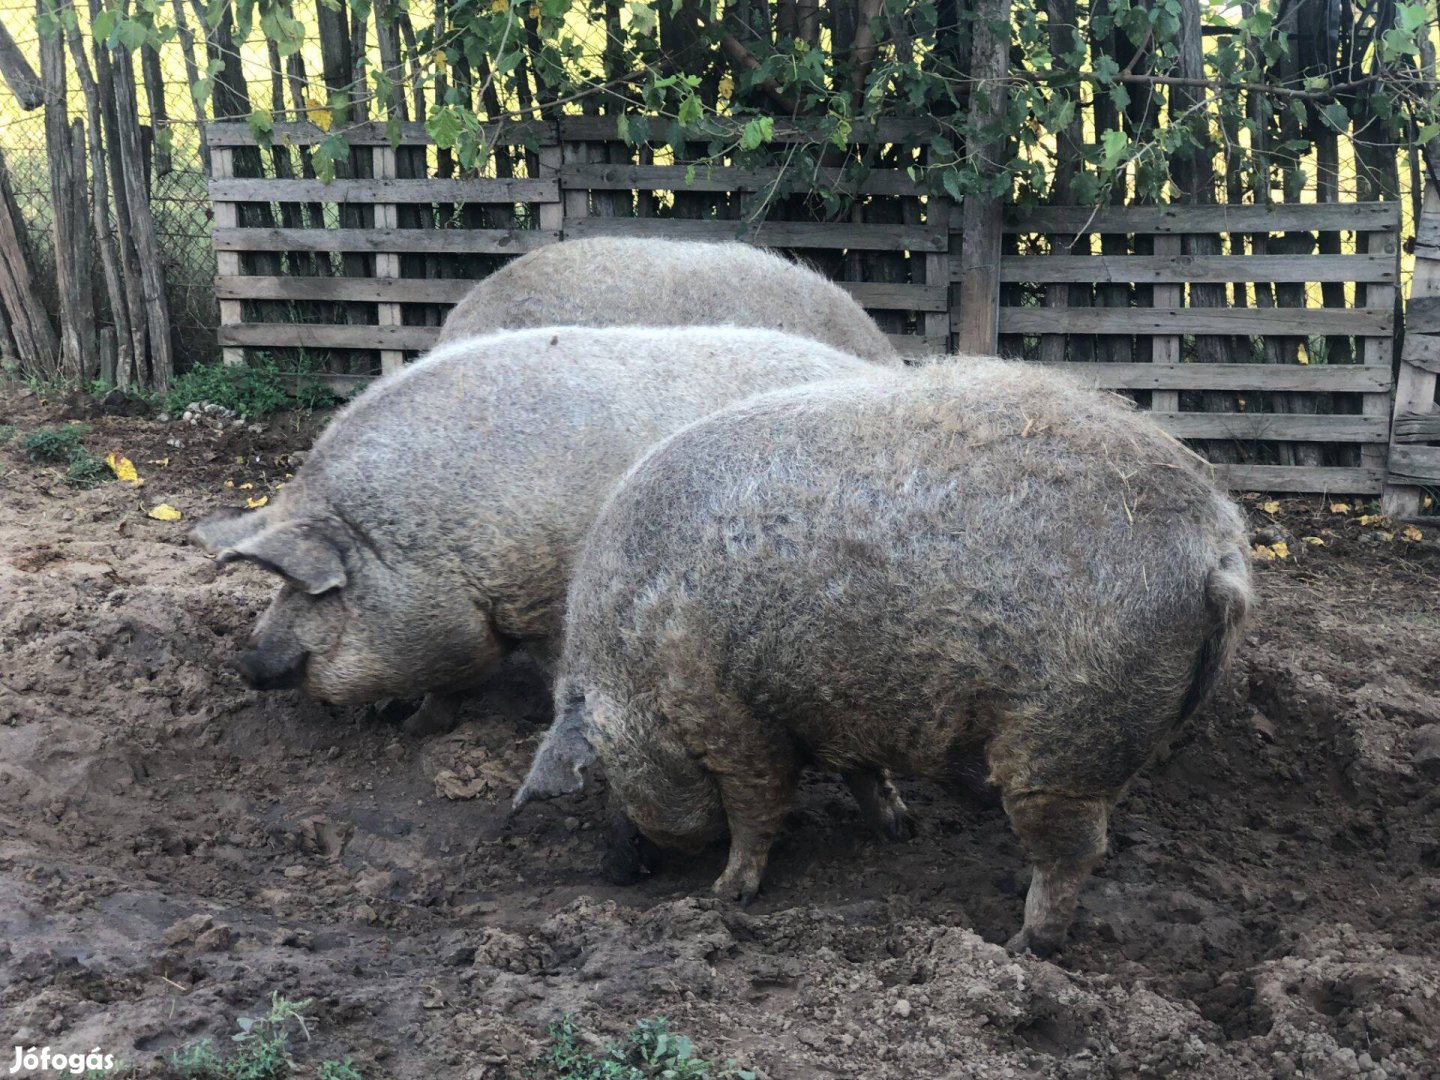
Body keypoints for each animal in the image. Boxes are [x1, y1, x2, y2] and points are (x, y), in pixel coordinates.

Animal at [524, 360, 1255, 961]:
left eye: (603, 774)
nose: (611, 871)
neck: (636, 661)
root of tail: (1216, 549)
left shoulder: (730, 715)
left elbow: (756, 807)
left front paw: (726, 896)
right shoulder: (840, 709)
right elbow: (862, 774)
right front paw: (901, 831)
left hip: (1064, 736)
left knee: (1071, 852)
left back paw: (1020, 946)